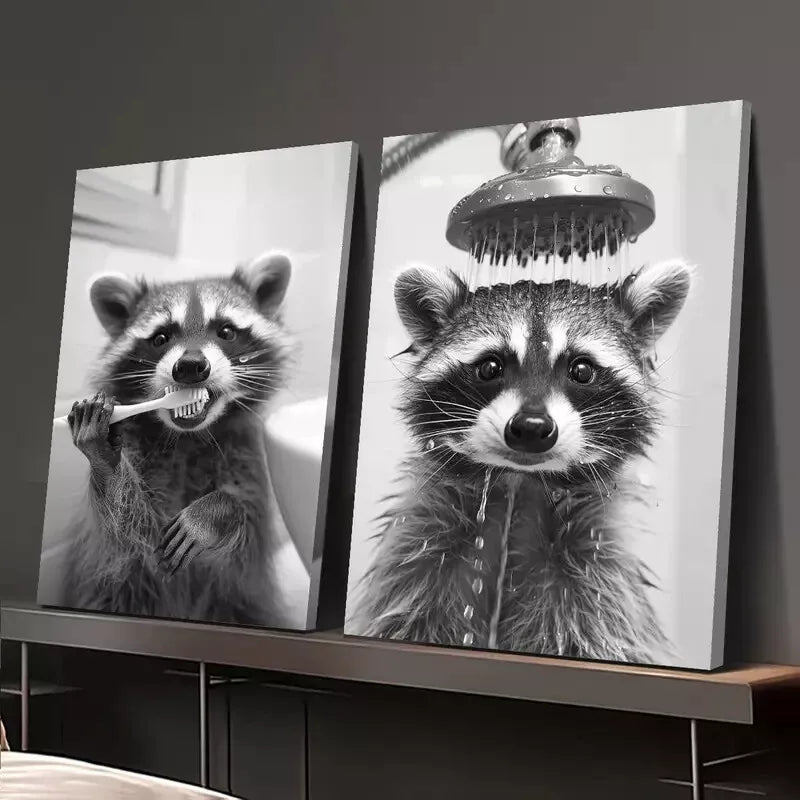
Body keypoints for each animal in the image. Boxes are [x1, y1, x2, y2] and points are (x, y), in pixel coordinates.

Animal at [62, 251, 293, 626]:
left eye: (226, 331)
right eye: (160, 338)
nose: (190, 366)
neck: (188, 439)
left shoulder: (248, 459)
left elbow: (243, 545)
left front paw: (217, 511)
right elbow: (127, 534)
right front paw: (105, 461)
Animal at [352, 259, 692, 663]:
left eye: (581, 370)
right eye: (490, 367)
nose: (531, 427)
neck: (520, 482)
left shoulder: (597, 579)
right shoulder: (419, 556)